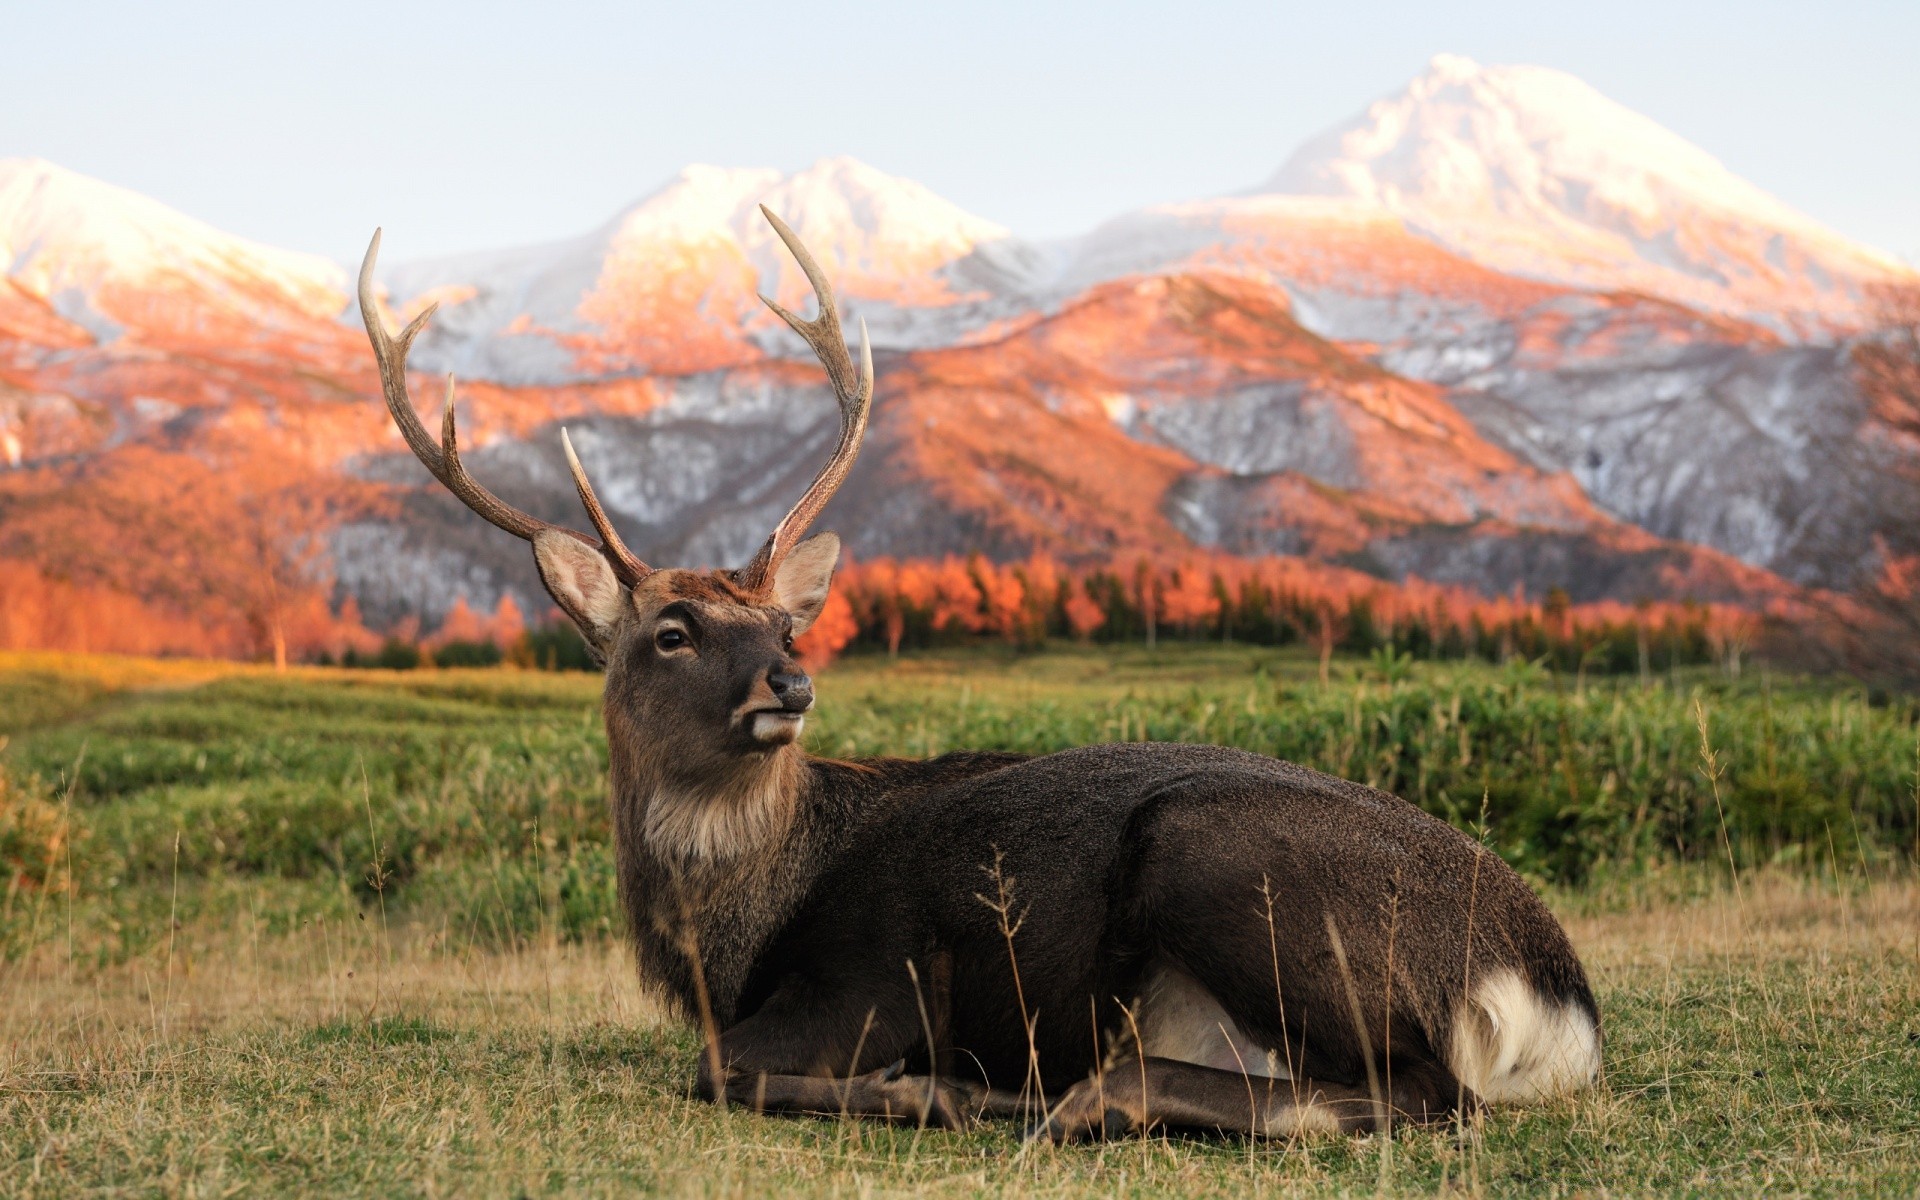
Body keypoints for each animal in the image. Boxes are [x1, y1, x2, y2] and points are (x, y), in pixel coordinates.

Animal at [353, 210, 1597, 1136]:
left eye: (786, 628)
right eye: (671, 630)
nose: (787, 688)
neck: (731, 937)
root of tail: (1554, 999)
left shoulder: (870, 977)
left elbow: (716, 1069)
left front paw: (928, 1088)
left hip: (1221, 860)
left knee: (1421, 1092)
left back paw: (1057, 1095)